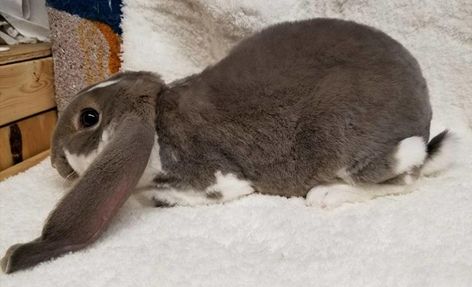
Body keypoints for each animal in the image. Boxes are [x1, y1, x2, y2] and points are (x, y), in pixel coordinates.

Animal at [1, 18, 456, 274]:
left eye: (89, 119)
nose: (55, 163)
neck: (158, 120)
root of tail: (423, 116)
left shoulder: (217, 179)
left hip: (346, 142)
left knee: (403, 179)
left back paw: (327, 195)